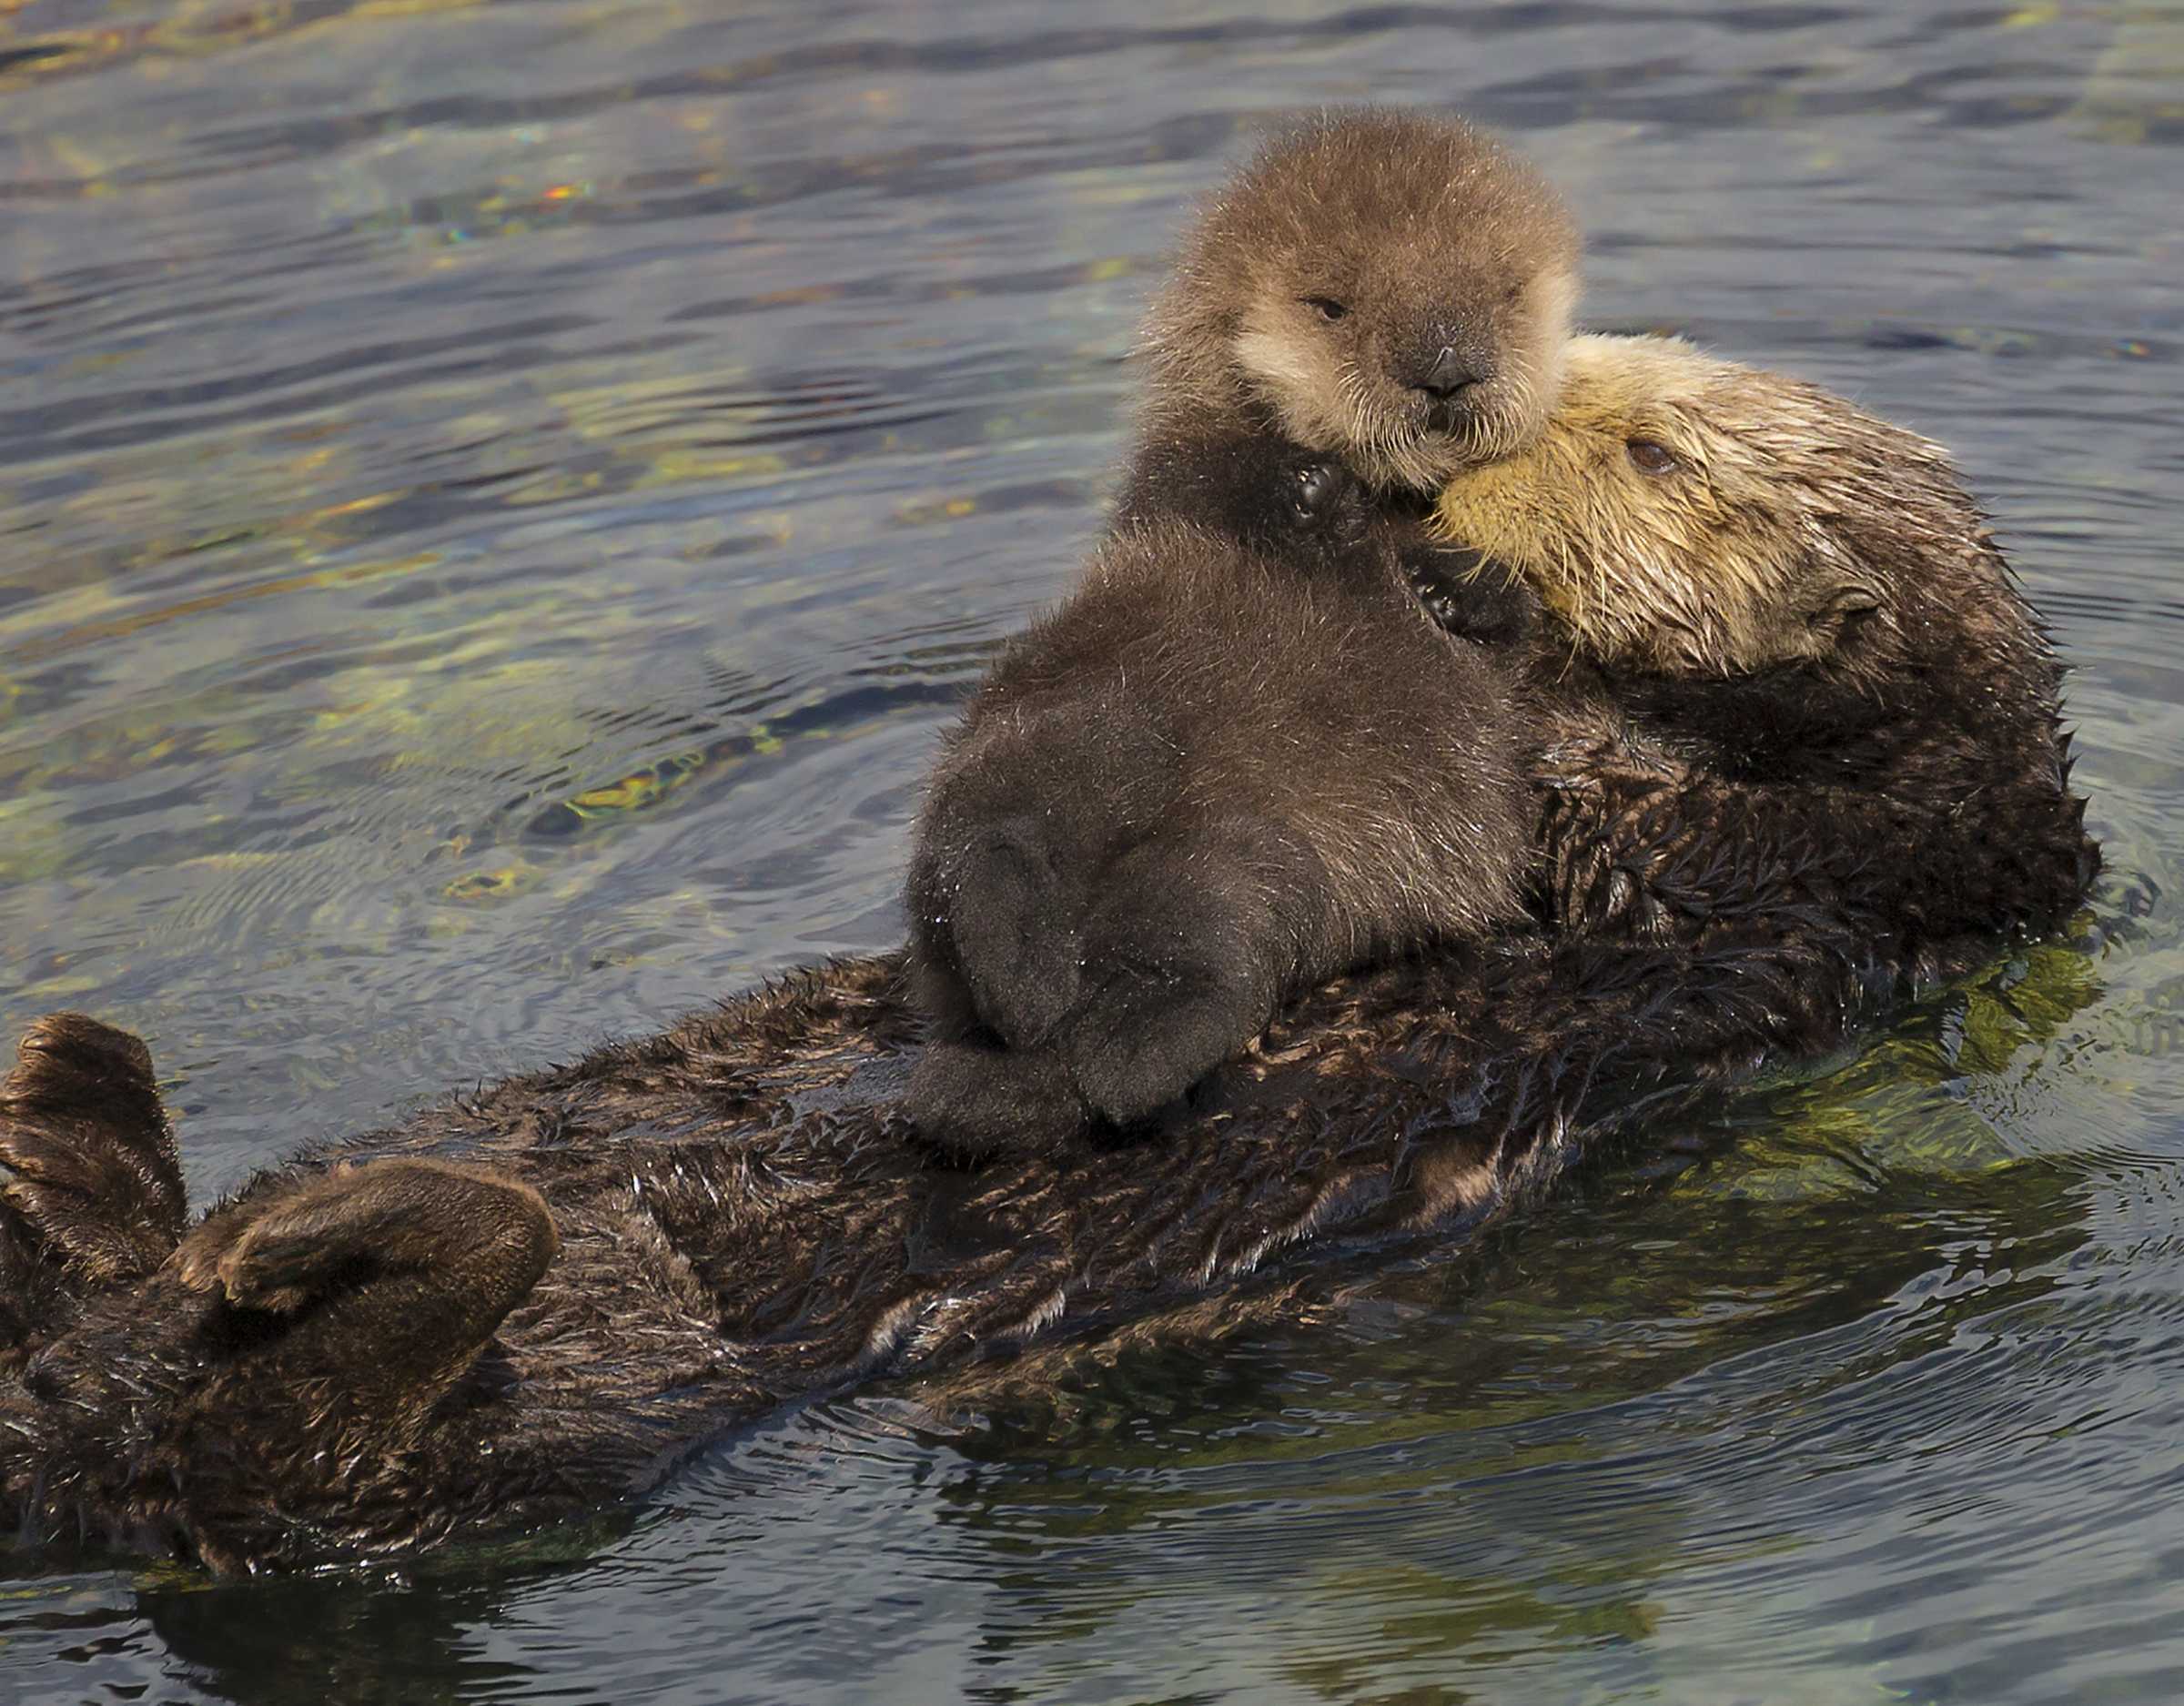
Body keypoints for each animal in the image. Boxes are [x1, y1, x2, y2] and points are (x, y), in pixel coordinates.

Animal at [907, 109, 1579, 1151]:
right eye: (1331, 306)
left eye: (1507, 294)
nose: (1447, 373)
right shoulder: (1172, 487)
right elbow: (1213, 488)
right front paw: (1315, 498)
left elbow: (1511, 628)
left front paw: (1447, 586)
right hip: (1077, 718)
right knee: (1000, 823)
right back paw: (1020, 965)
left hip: (1262, 882)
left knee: (1189, 987)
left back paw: (1085, 1039)